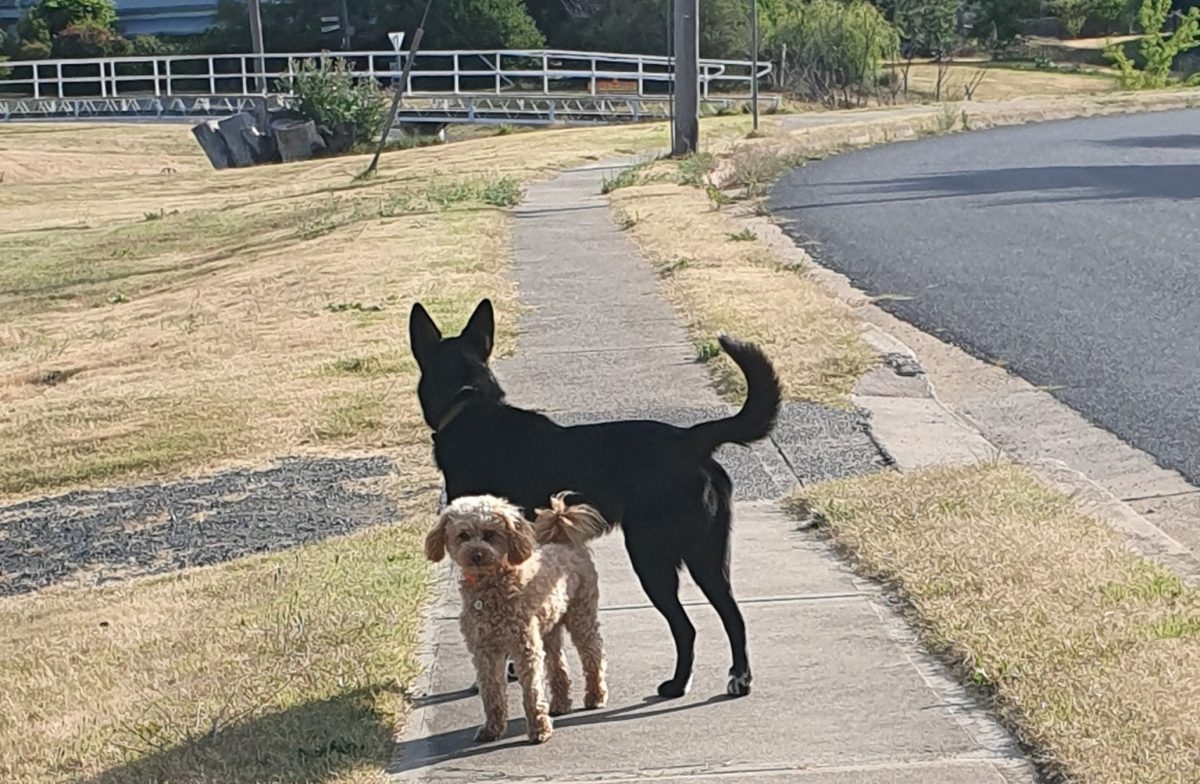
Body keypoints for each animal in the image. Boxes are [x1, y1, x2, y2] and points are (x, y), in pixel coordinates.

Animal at [408, 300, 782, 696]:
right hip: (707, 554)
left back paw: (682, 683)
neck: (470, 408)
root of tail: (690, 439)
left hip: (652, 556)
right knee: (732, 614)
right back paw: (737, 677)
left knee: (688, 626)